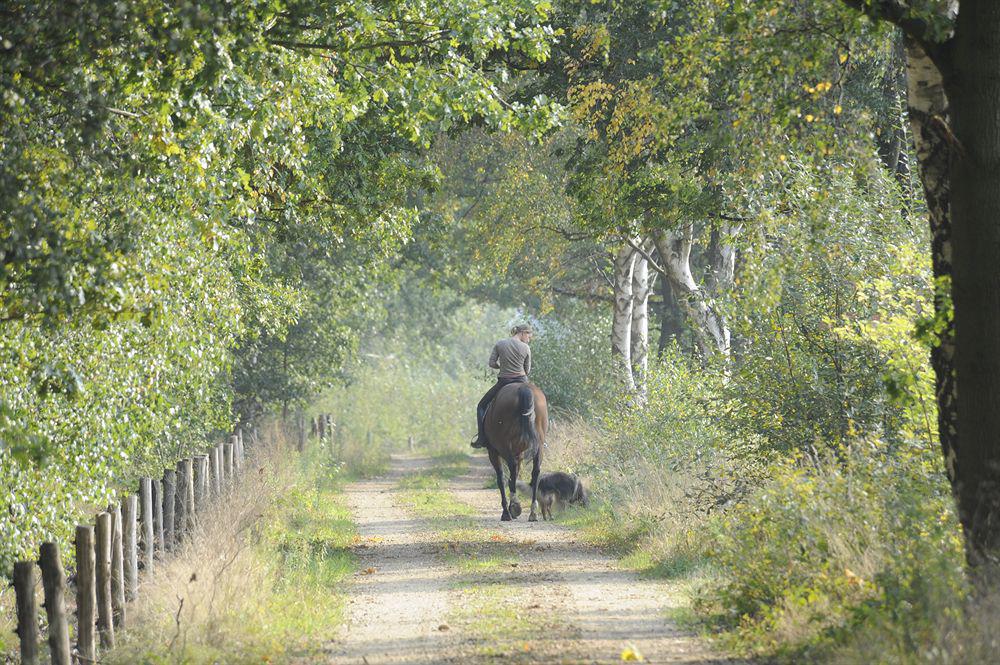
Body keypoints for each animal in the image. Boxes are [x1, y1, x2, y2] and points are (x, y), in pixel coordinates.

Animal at [482, 382, 548, 520]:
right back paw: (533, 512)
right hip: (538, 446)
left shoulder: (493, 452)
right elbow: (515, 475)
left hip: (505, 446)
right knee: (535, 472)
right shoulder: (519, 453)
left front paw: (507, 510)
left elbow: (501, 478)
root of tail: (523, 388)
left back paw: (513, 508)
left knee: (511, 469)